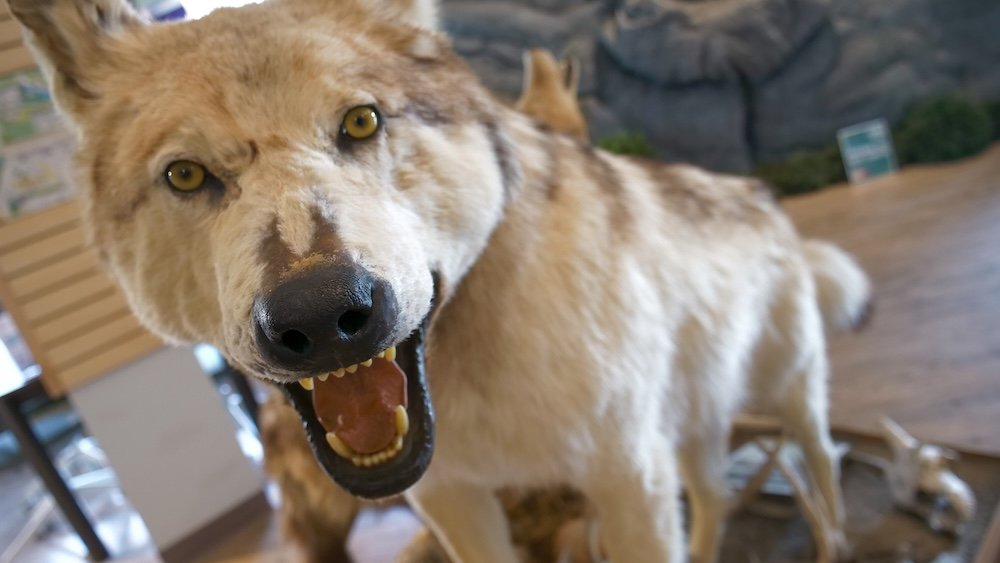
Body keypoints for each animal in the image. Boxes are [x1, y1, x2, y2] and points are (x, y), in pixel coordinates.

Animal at [9, 0, 870, 561]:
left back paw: (839, 536)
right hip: (696, 428)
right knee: (721, 495)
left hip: (787, 401)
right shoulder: (456, 501)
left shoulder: (630, 480)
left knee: (824, 465)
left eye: (360, 122)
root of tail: (764, 198)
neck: (476, 386)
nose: (321, 315)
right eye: (186, 174)